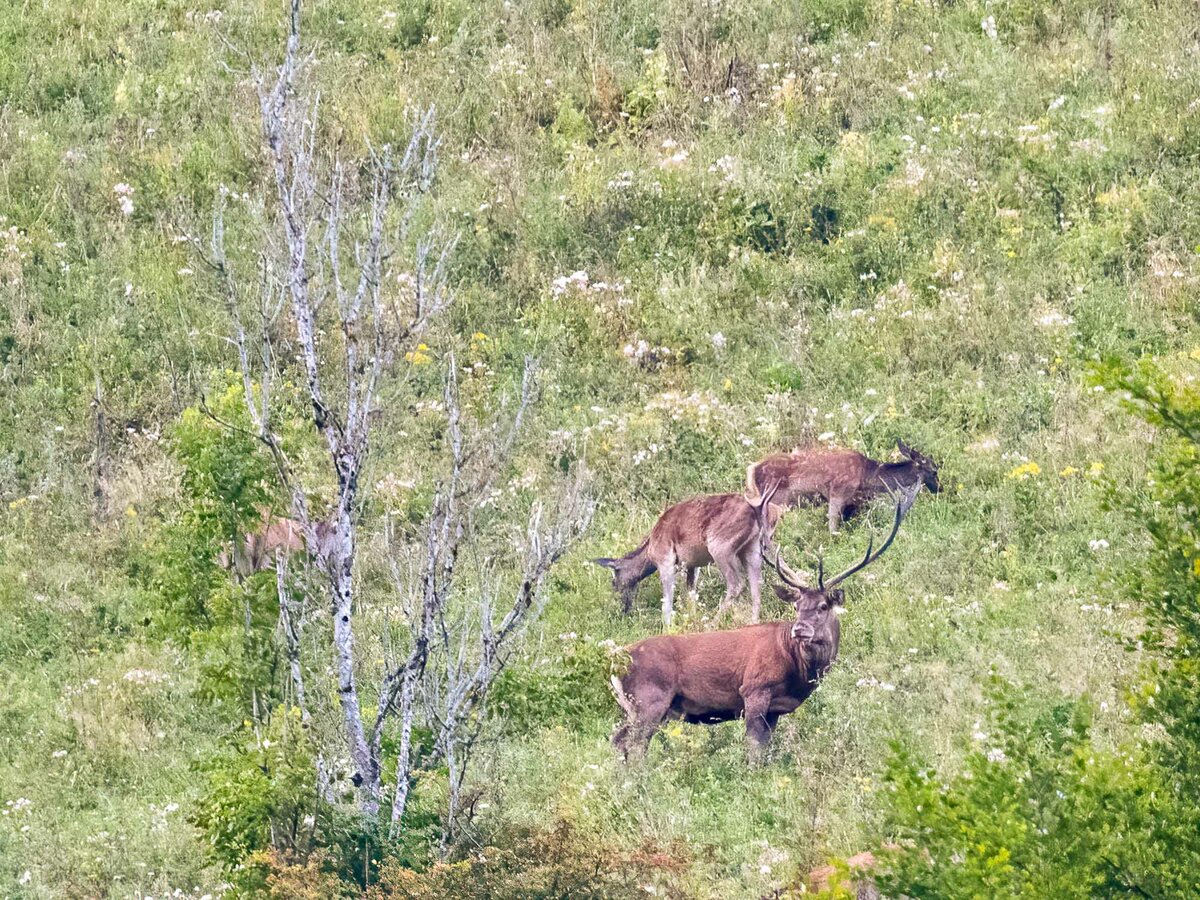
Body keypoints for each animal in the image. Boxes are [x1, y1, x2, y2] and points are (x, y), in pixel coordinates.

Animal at [592, 484, 781, 626]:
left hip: (720, 547)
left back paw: (712, 623)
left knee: (736, 584)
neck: (650, 549)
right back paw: (753, 622)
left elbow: (667, 603)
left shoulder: (665, 560)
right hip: (752, 548)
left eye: (614, 580)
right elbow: (691, 597)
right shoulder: (692, 565)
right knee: (757, 585)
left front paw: (668, 628)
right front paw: (691, 619)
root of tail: (757, 511)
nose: (622, 608)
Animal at [610, 495, 911, 764]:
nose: (800, 630)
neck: (798, 671)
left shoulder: (775, 710)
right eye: (797, 606)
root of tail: (615, 662)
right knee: (630, 743)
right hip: (649, 701)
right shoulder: (754, 690)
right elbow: (754, 752)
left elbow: (765, 752)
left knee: (619, 739)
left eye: (824, 606)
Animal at [747, 440, 939, 537]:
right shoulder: (838, 492)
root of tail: (752, 470)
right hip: (776, 500)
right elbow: (833, 526)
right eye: (934, 470)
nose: (940, 487)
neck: (866, 475)